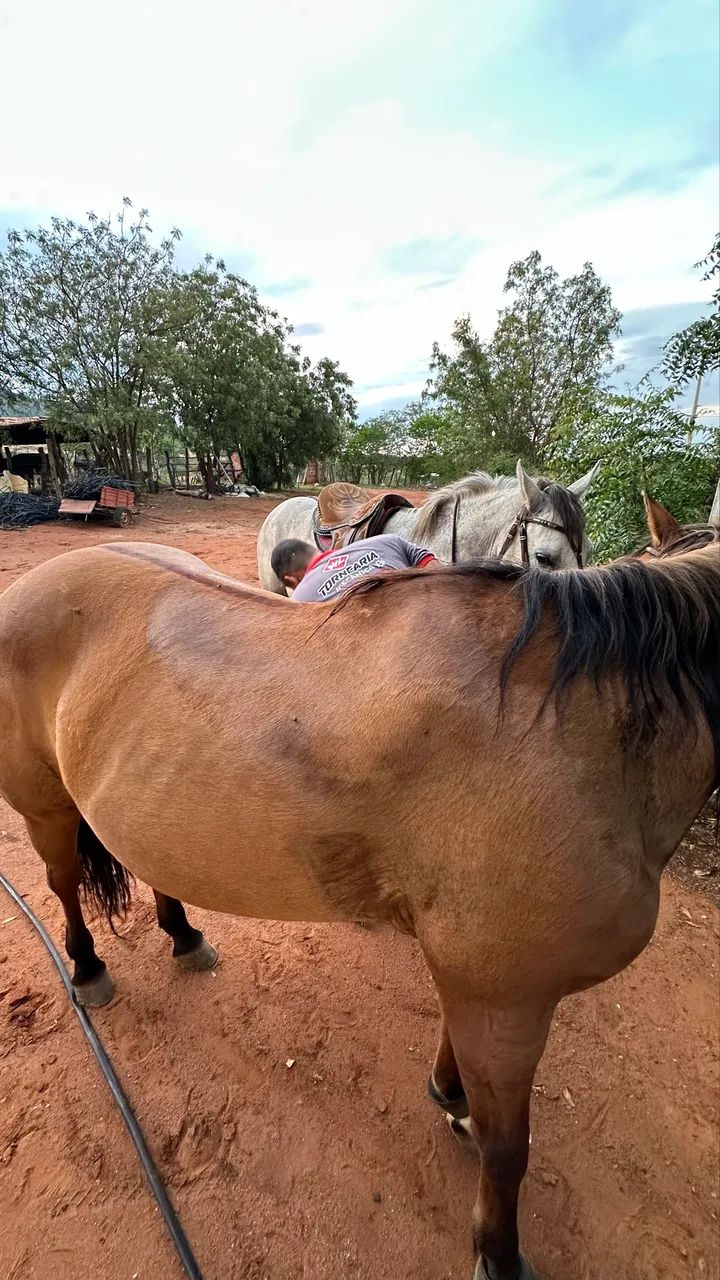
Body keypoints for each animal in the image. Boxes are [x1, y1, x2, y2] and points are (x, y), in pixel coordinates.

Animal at [0, 482, 718, 1280]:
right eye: (546, 552)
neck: (572, 726)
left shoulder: (480, 987)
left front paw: (451, 1096)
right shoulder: (510, 998)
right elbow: (509, 1152)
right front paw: (498, 1252)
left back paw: (184, 935)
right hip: (44, 807)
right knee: (64, 885)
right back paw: (88, 967)